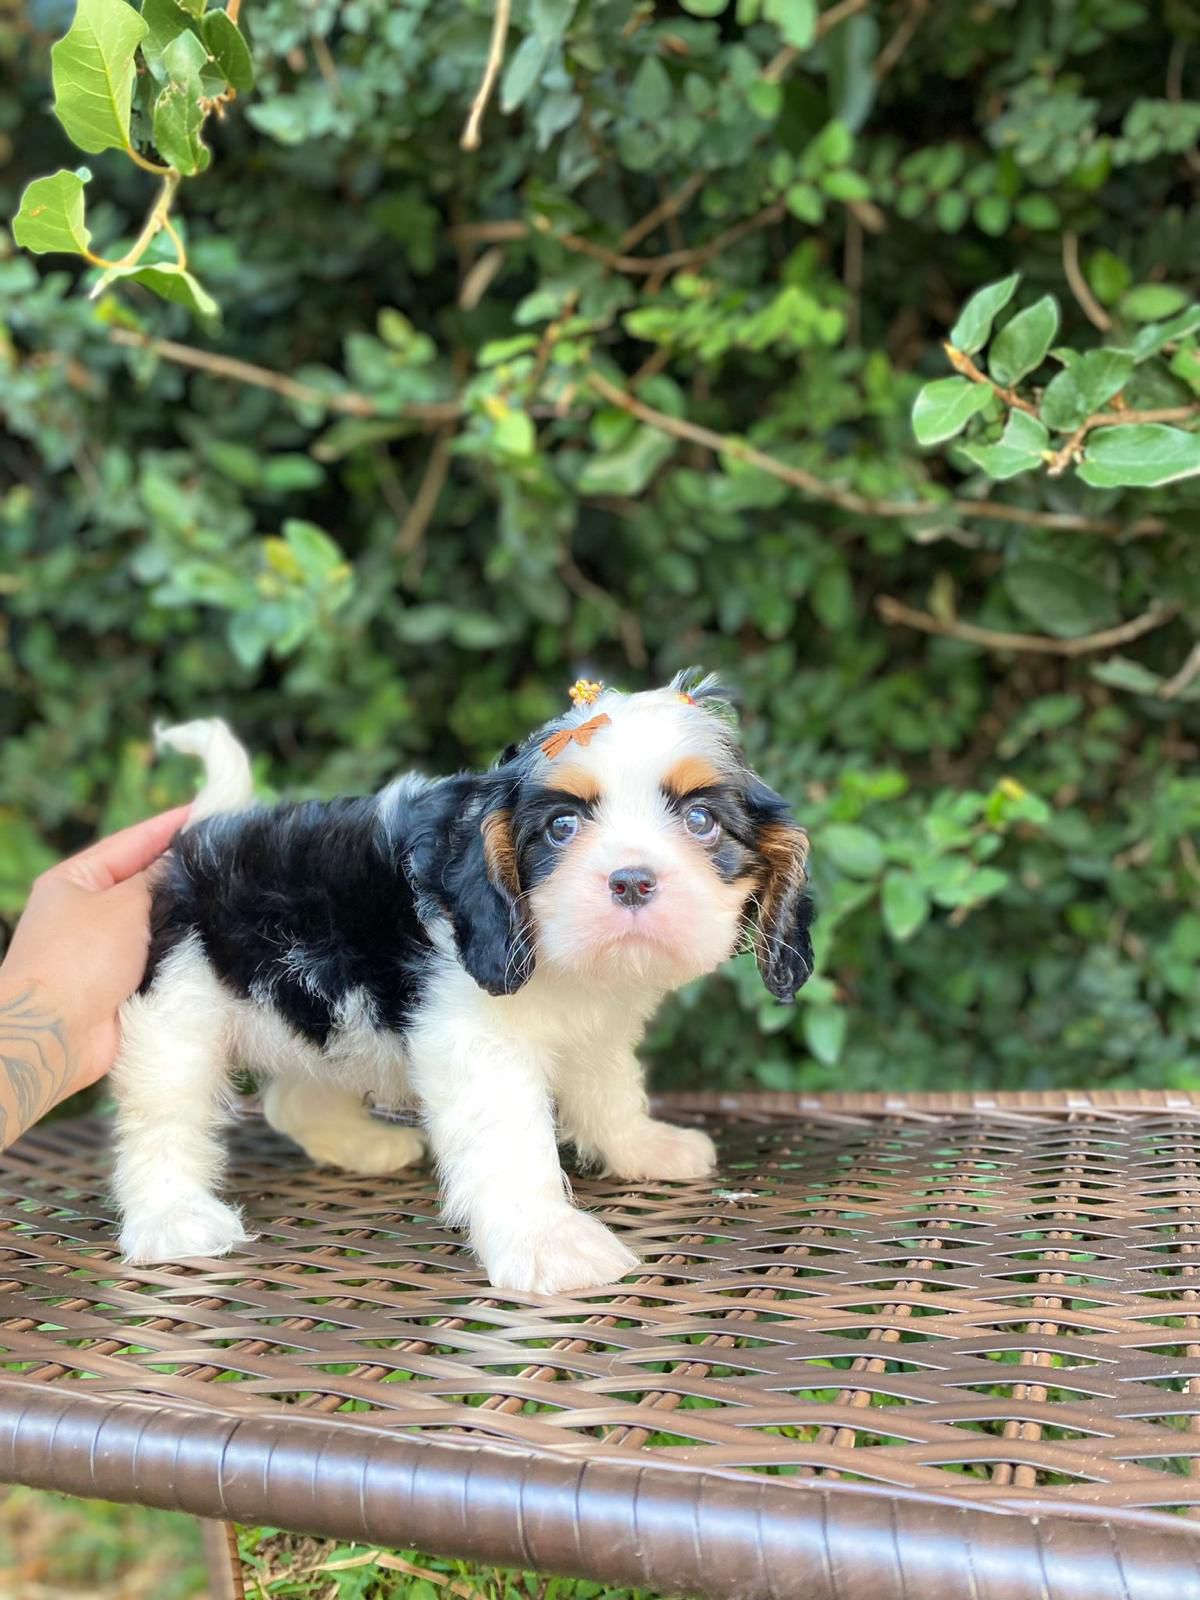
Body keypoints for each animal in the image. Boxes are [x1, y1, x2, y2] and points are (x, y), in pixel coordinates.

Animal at [115, 668, 819, 1292]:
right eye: (561, 828)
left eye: (701, 821)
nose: (631, 881)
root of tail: (200, 836)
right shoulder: (476, 1041)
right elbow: (514, 1139)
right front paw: (548, 1242)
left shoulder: (596, 1033)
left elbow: (611, 1091)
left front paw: (642, 1148)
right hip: (178, 1011)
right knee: (163, 1119)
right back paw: (171, 1221)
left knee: (293, 1100)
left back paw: (361, 1146)